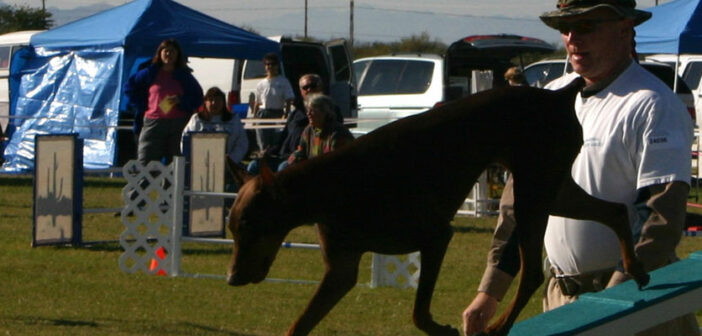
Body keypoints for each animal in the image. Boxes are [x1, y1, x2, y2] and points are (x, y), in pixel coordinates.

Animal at [226, 79, 648, 336]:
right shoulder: (341, 269)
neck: (332, 187)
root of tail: (559, 94)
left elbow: (418, 310)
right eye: (232, 229)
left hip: (532, 194)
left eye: (249, 225)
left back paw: (498, 326)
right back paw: (636, 268)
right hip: (551, 188)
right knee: (613, 211)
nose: (231, 279)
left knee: (529, 273)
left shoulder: (435, 236)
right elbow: (300, 324)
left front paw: (442, 328)